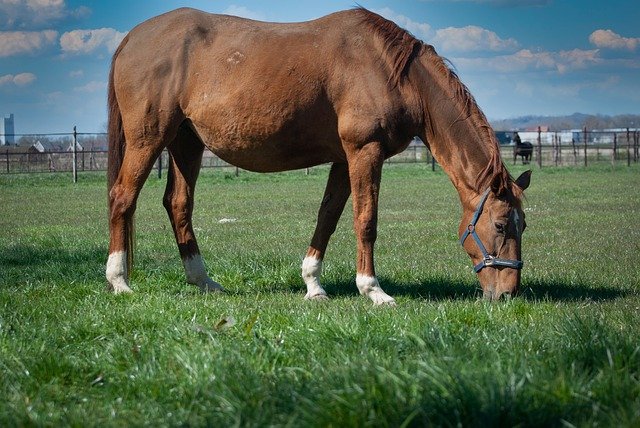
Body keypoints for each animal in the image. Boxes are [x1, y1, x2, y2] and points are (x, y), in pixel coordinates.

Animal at [107, 6, 532, 302]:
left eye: (523, 224)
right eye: (499, 225)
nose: (508, 292)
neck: (391, 71)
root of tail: (131, 39)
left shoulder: (345, 159)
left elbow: (327, 217)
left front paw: (313, 284)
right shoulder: (365, 152)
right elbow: (366, 221)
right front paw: (373, 290)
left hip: (186, 143)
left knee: (178, 204)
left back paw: (203, 281)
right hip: (149, 139)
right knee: (122, 198)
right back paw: (119, 281)